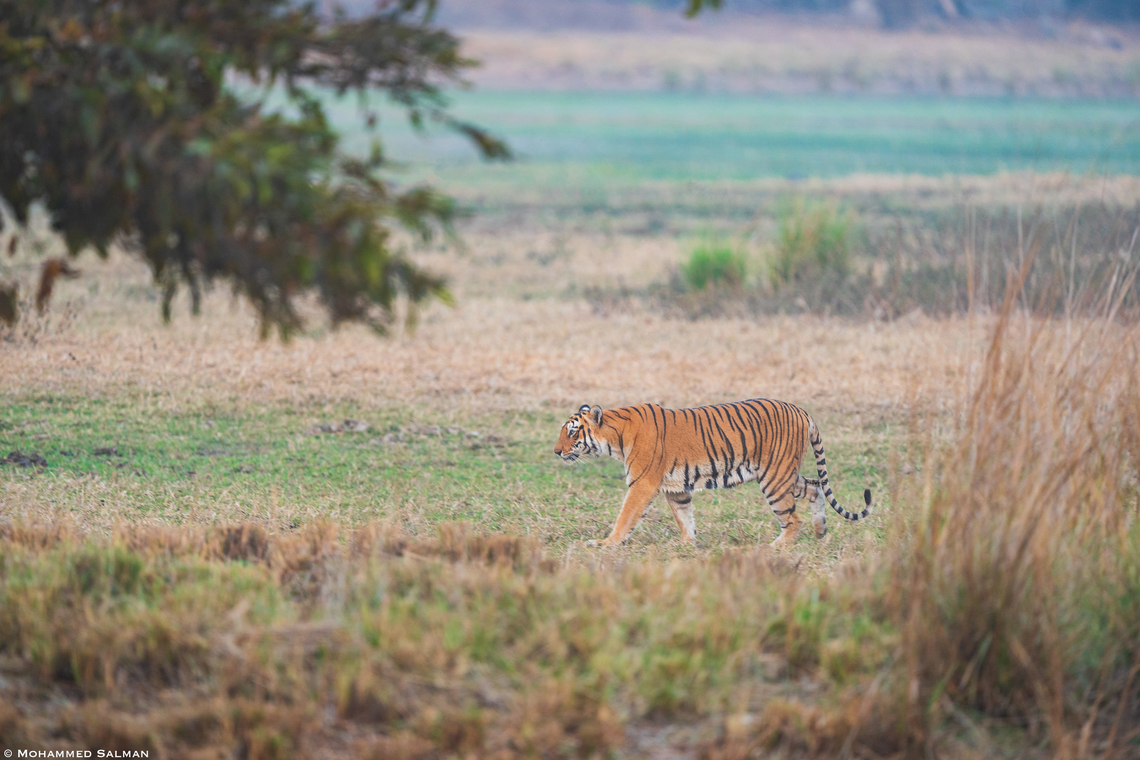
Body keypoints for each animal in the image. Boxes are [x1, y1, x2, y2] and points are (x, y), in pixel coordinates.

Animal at [553, 400, 872, 547]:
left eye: (572, 432)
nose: (556, 452)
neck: (616, 436)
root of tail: (802, 411)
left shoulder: (642, 484)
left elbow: (625, 517)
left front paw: (605, 543)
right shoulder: (676, 488)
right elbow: (685, 518)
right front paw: (687, 544)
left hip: (775, 478)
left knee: (792, 519)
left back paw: (775, 547)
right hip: (786, 475)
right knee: (816, 487)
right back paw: (820, 532)